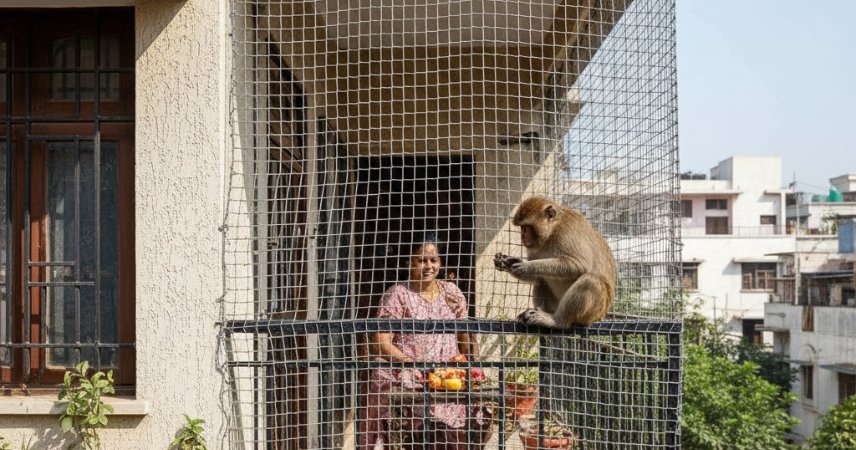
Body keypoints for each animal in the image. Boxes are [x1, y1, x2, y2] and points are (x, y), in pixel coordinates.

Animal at [494, 196, 616, 328]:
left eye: (526, 227)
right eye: (522, 228)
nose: (522, 237)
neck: (551, 233)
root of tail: (601, 316)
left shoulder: (566, 232)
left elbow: (579, 265)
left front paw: (527, 266)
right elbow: (537, 278)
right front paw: (509, 262)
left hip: (593, 313)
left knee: (591, 280)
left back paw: (556, 321)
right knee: (541, 281)